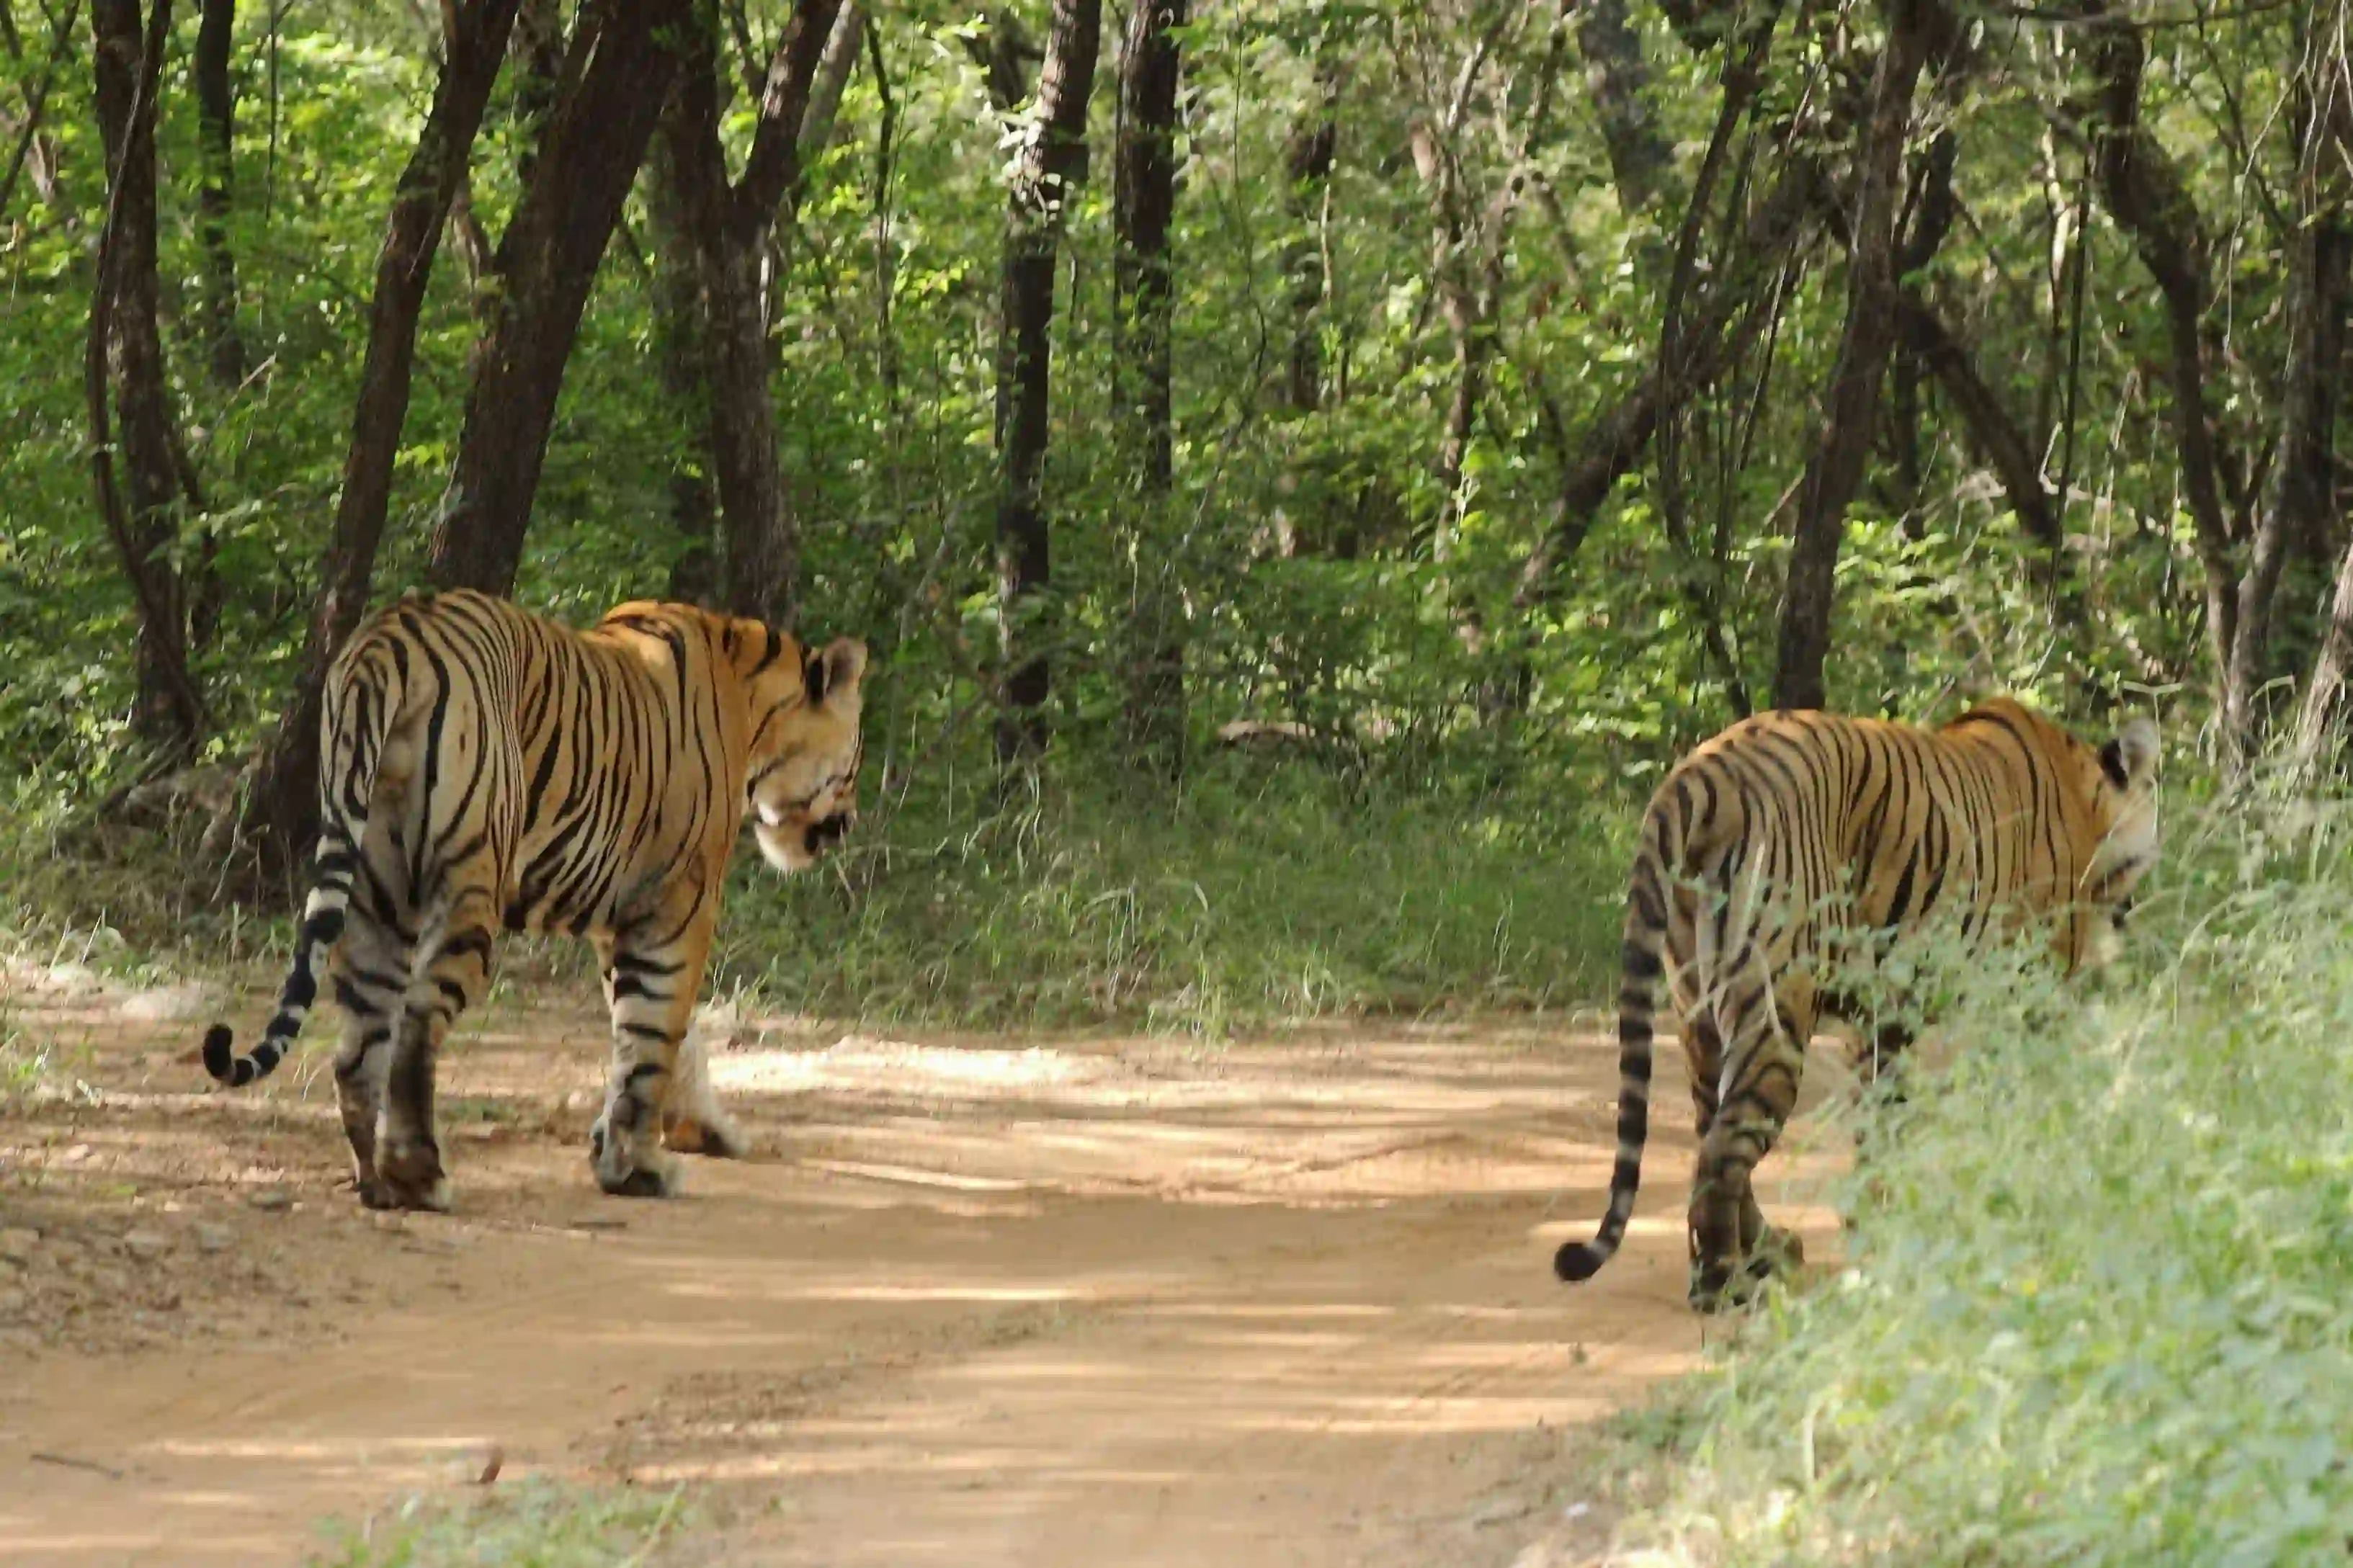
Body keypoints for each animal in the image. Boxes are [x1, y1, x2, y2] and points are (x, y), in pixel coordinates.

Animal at [207, 592, 870, 1213]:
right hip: (469, 880)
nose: (847, 824)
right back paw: (419, 1176)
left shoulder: (620, 916)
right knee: (416, 1024)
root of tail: (386, 638)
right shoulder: (677, 904)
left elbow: (657, 1039)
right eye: (855, 759)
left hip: (375, 890)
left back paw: (377, 1182)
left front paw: (681, 1135)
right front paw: (639, 1167)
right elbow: (655, 1035)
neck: (753, 699)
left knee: (358, 1044)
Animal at [1553, 700, 2155, 1316]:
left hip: (1695, 1009)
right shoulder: (2031, 991)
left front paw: (1880, 1222)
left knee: (1708, 1126)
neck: (2086, 794)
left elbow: (1880, 1121)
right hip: (1774, 1004)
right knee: (1724, 1144)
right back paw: (1723, 1284)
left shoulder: (1882, 1016)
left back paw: (1769, 1252)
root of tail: (1701, 775)